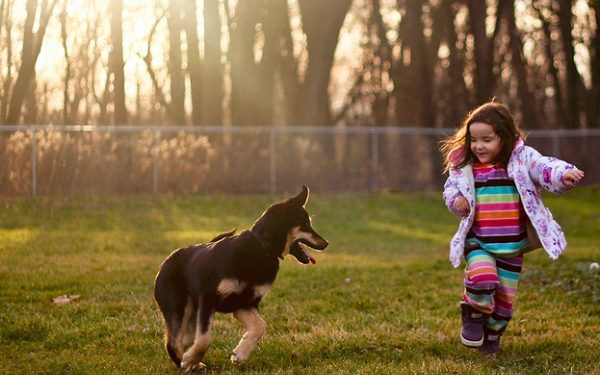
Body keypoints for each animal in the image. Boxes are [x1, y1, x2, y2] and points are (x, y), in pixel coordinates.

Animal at [150, 187, 328, 372]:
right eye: (305, 224)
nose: (326, 243)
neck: (261, 248)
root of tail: (166, 261)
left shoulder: (244, 303)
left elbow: (260, 326)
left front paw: (240, 354)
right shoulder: (209, 299)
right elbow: (205, 339)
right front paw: (189, 359)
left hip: (192, 310)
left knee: (186, 339)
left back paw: (193, 362)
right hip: (179, 305)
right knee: (173, 342)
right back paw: (185, 362)